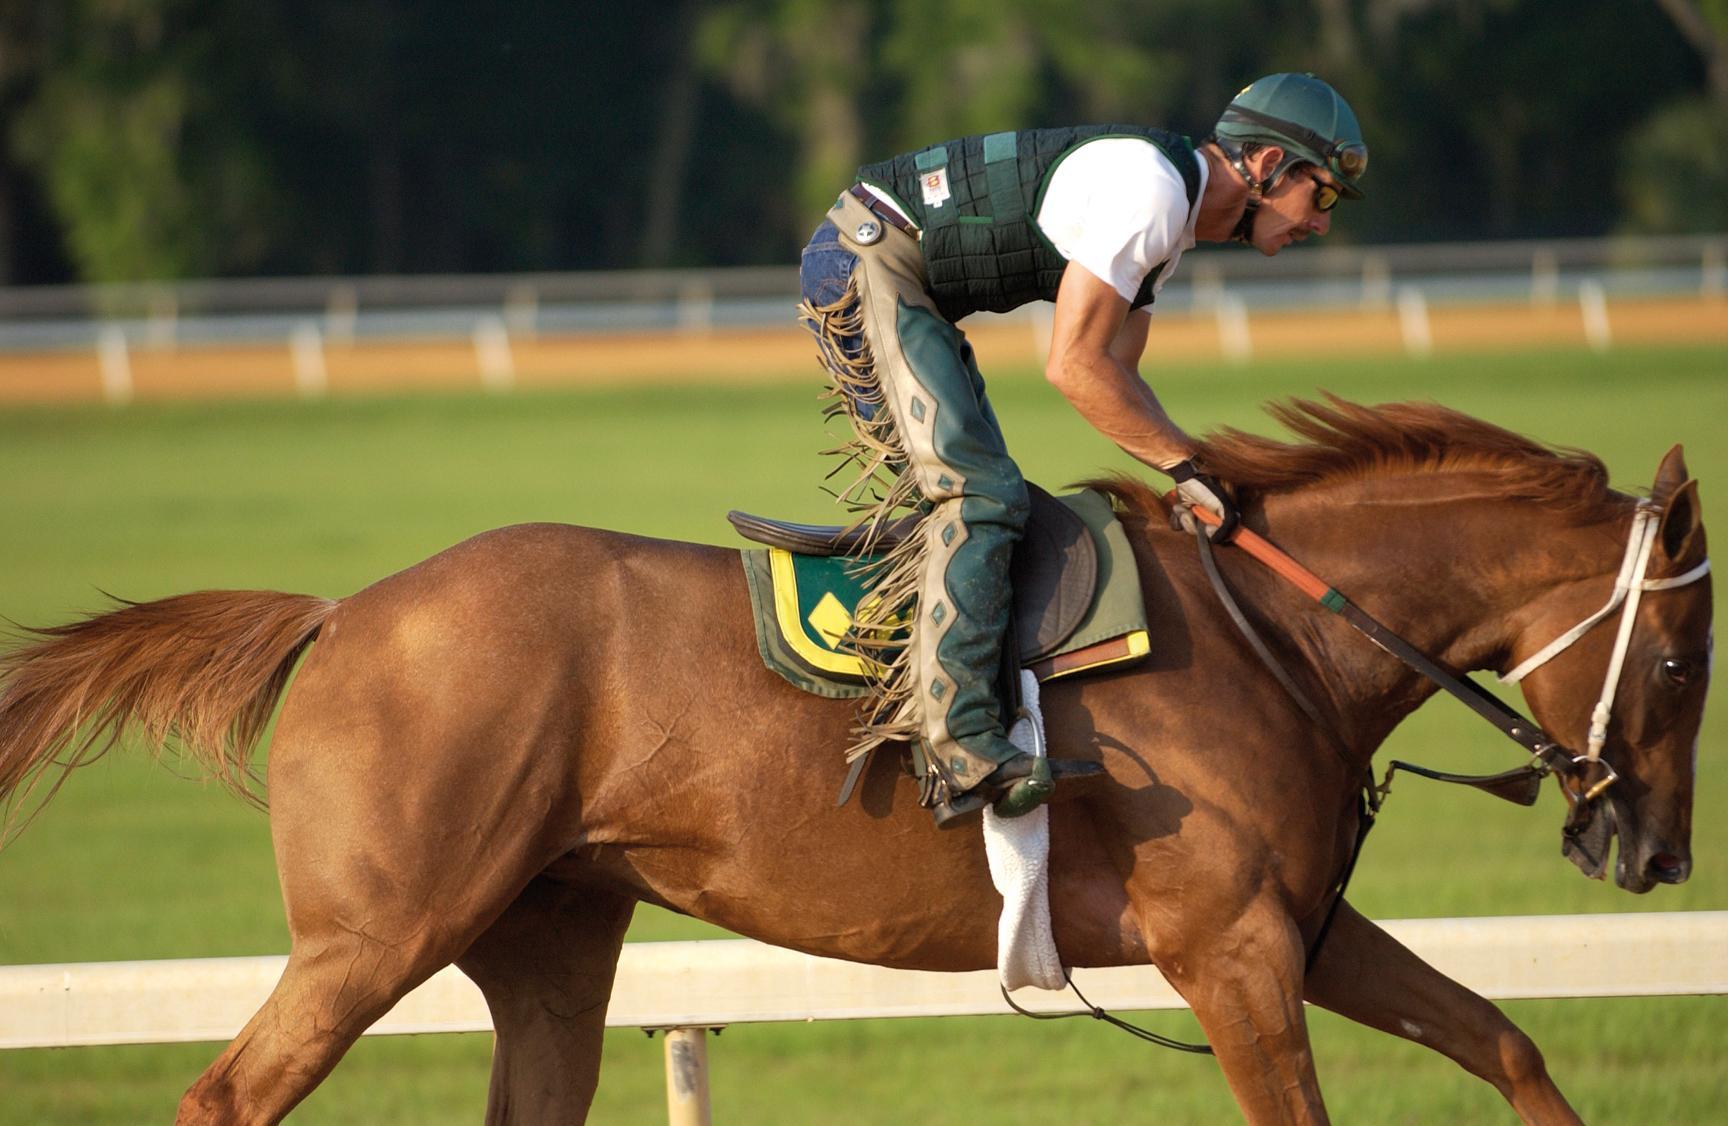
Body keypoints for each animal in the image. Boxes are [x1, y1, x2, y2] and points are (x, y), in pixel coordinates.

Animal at [0, 398, 1710, 1125]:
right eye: (1687, 659)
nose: (1654, 853)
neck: (1275, 631)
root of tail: (345, 608)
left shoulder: (1297, 923)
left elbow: (1504, 1040)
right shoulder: (1229, 948)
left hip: (547, 941)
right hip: (375, 932)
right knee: (223, 1096)